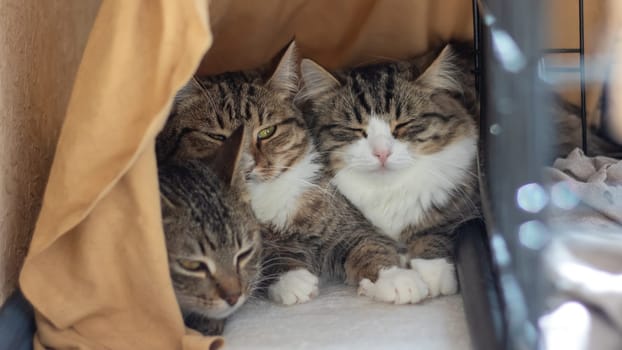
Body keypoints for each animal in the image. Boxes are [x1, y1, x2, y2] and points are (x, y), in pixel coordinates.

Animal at [158, 41, 432, 306]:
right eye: (216, 136)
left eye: (267, 131)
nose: (247, 165)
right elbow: (262, 256)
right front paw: (293, 279)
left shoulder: (344, 221)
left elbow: (367, 244)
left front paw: (396, 279)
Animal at [300, 42, 480, 296]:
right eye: (356, 129)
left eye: (403, 124)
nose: (382, 153)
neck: (389, 190)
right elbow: (367, 248)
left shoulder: (465, 203)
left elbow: (437, 230)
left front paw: (433, 274)